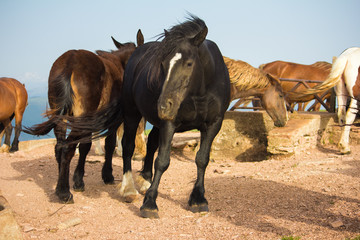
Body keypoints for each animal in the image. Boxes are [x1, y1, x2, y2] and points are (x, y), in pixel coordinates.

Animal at [24, 30, 143, 202]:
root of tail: (70, 64)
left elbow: (85, 145)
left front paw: (77, 179)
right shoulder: (111, 119)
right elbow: (108, 144)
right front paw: (106, 175)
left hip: (63, 114)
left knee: (59, 146)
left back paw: (61, 184)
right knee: (67, 146)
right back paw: (64, 191)